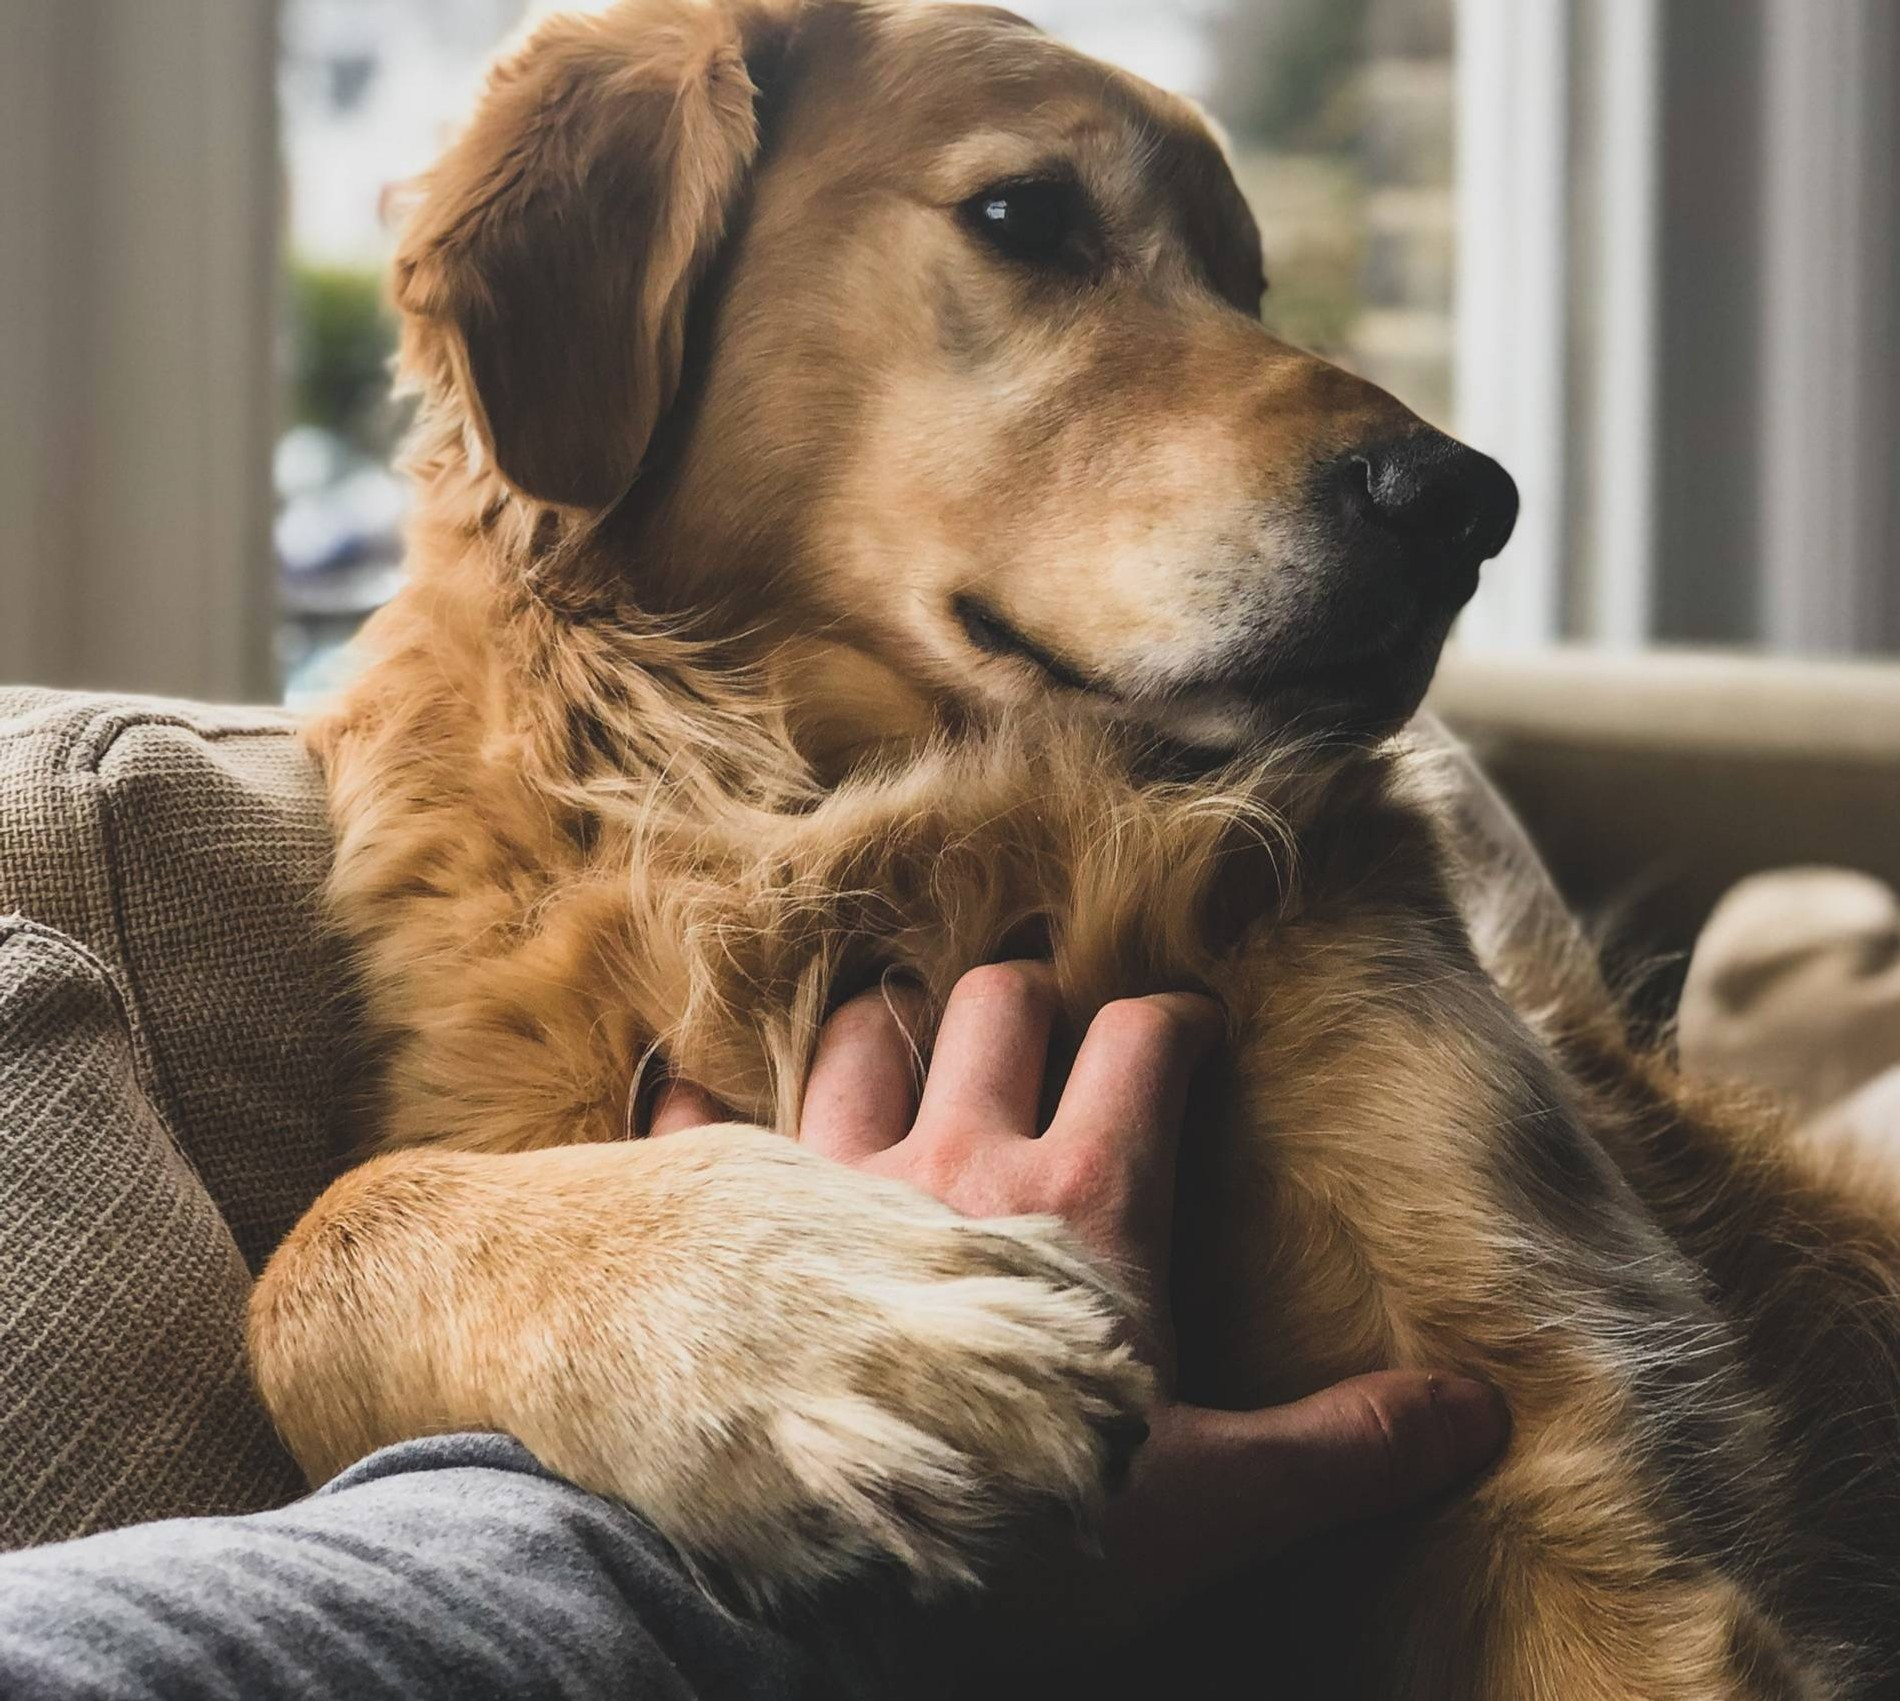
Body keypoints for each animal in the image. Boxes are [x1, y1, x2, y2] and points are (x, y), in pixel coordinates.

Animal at [248, 3, 1900, 1687]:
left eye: (1246, 279)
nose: (1466, 505)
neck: (874, 812)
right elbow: (318, 1249)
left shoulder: (1581, 1456)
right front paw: (830, 1325)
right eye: (1024, 216)